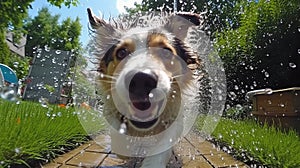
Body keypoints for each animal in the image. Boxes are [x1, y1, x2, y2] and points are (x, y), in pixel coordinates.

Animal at [87, 8, 206, 167]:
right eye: (121, 53)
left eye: (166, 51)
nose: (141, 80)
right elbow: (118, 139)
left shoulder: (176, 118)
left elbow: (162, 147)